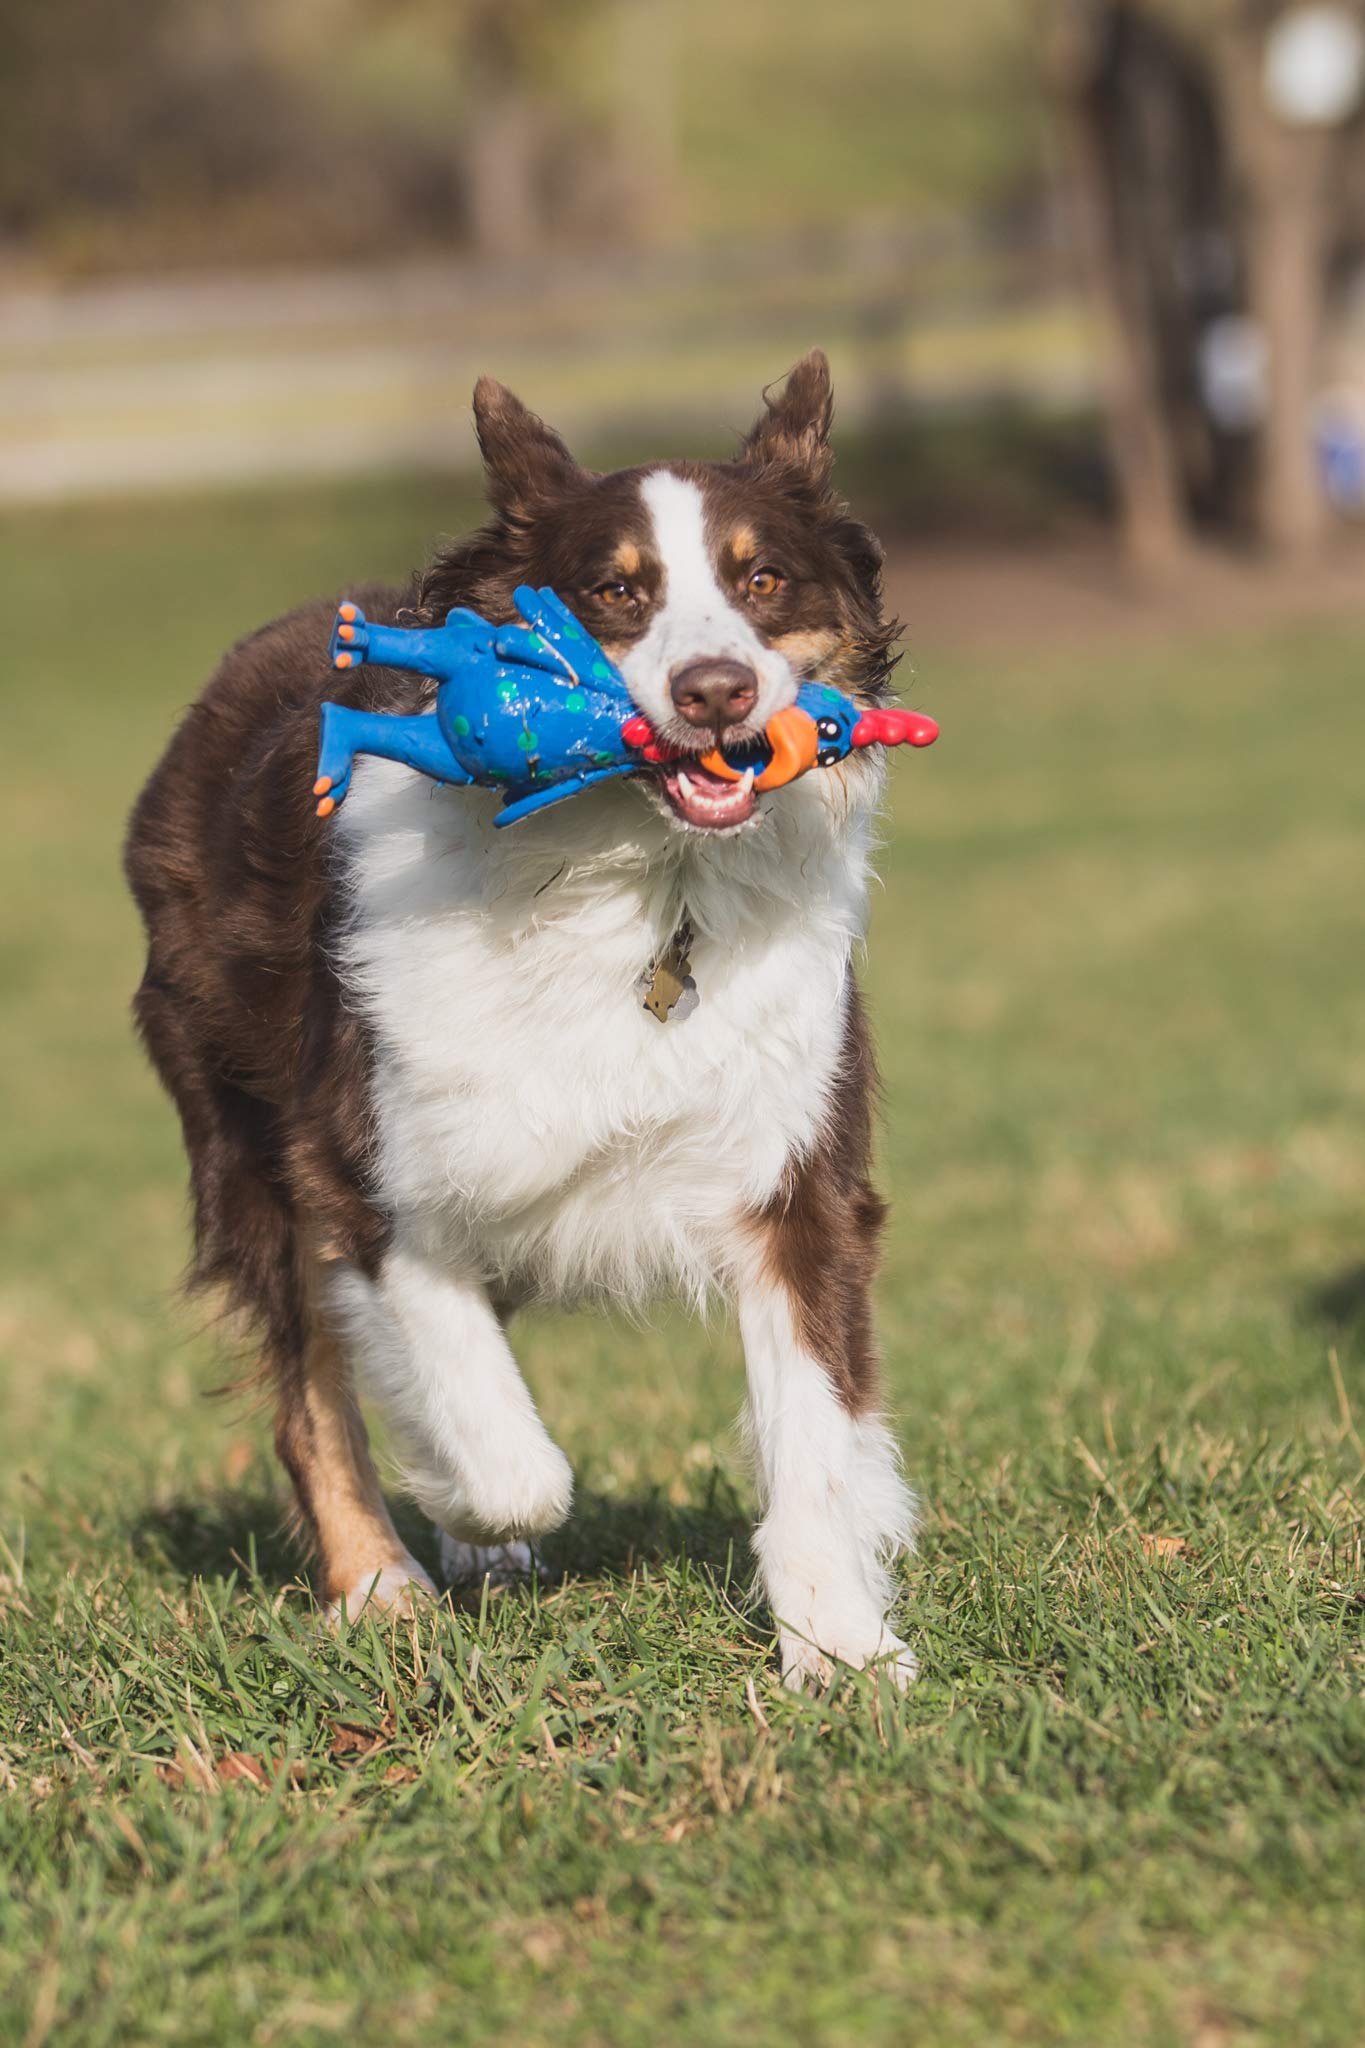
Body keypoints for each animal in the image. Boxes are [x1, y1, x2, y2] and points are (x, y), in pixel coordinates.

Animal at [125, 352, 916, 1687]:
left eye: (762, 578)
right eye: (614, 591)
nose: (716, 691)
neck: (642, 885)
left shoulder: (793, 1162)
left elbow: (813, 1430)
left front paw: (842, 1650)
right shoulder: (364, 1162)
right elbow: (505, 1452)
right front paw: (470, 1503)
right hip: (240, 1129)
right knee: (311, 1384)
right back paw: (383, 1580)